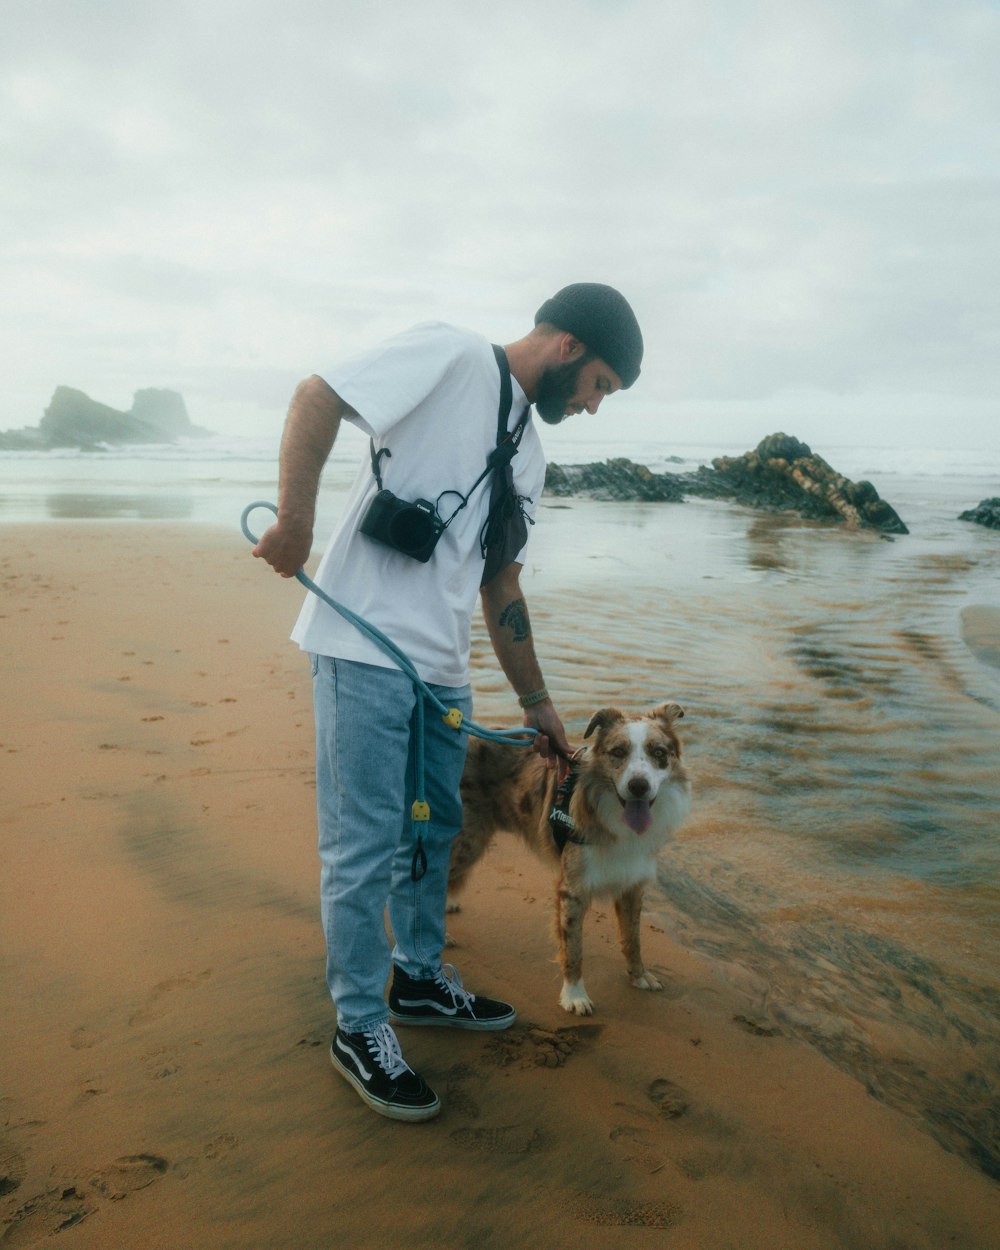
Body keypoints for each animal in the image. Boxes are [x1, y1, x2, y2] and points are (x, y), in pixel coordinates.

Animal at [450, 705, 690, 1015]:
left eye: (658, 752)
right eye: (618, 751)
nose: (639, 786)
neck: (613, 817)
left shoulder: (632, 885)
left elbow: (633, 938)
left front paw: (639, 976)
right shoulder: (572, 891)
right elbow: (574, 948)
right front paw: (574, 995)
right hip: (468, 840)